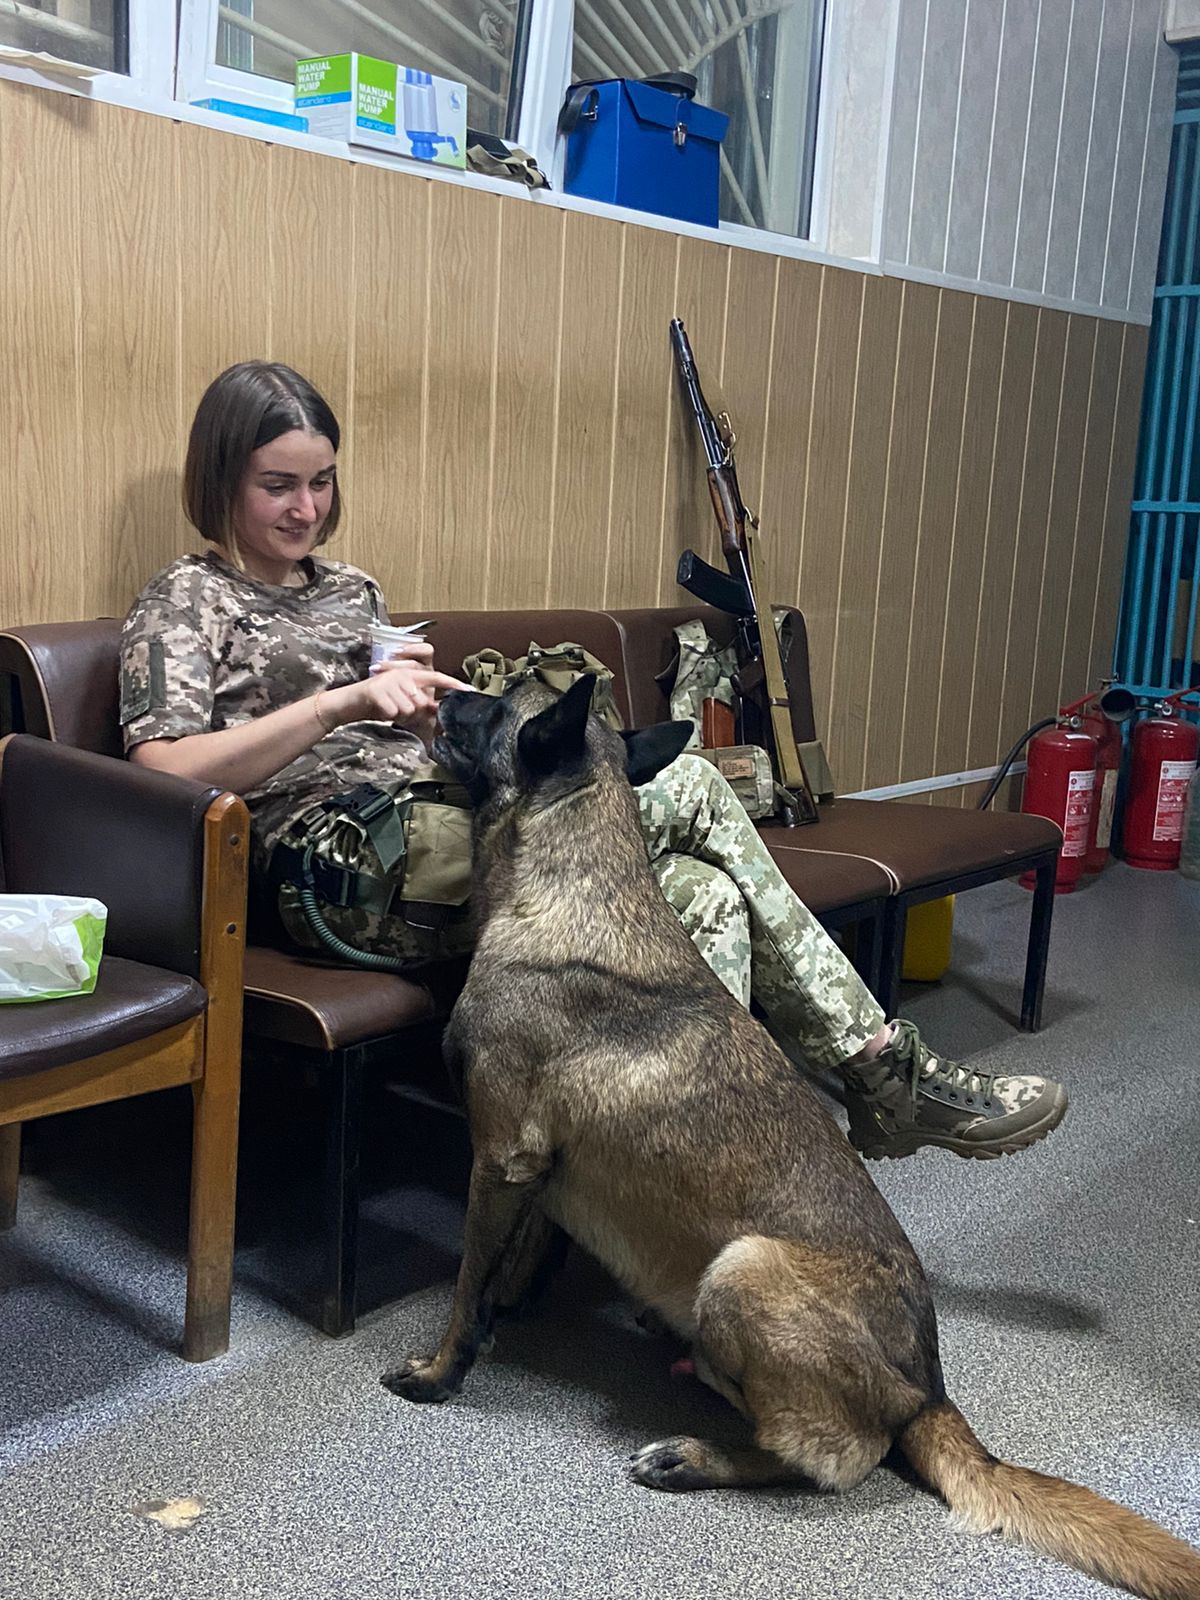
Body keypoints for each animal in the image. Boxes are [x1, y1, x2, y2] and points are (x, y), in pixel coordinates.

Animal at [383, 675, 1200, 1600]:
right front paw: (511, 1304)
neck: (573, 882)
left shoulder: (499, 1156)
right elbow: (519, 1255)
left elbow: (465, 1285)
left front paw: (442, 1371)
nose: (436, 696)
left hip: (741, 1268)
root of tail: (926, 1388)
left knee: (830, 1459)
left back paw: (693, 1456)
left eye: (494, 702)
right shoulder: (533, 1167)